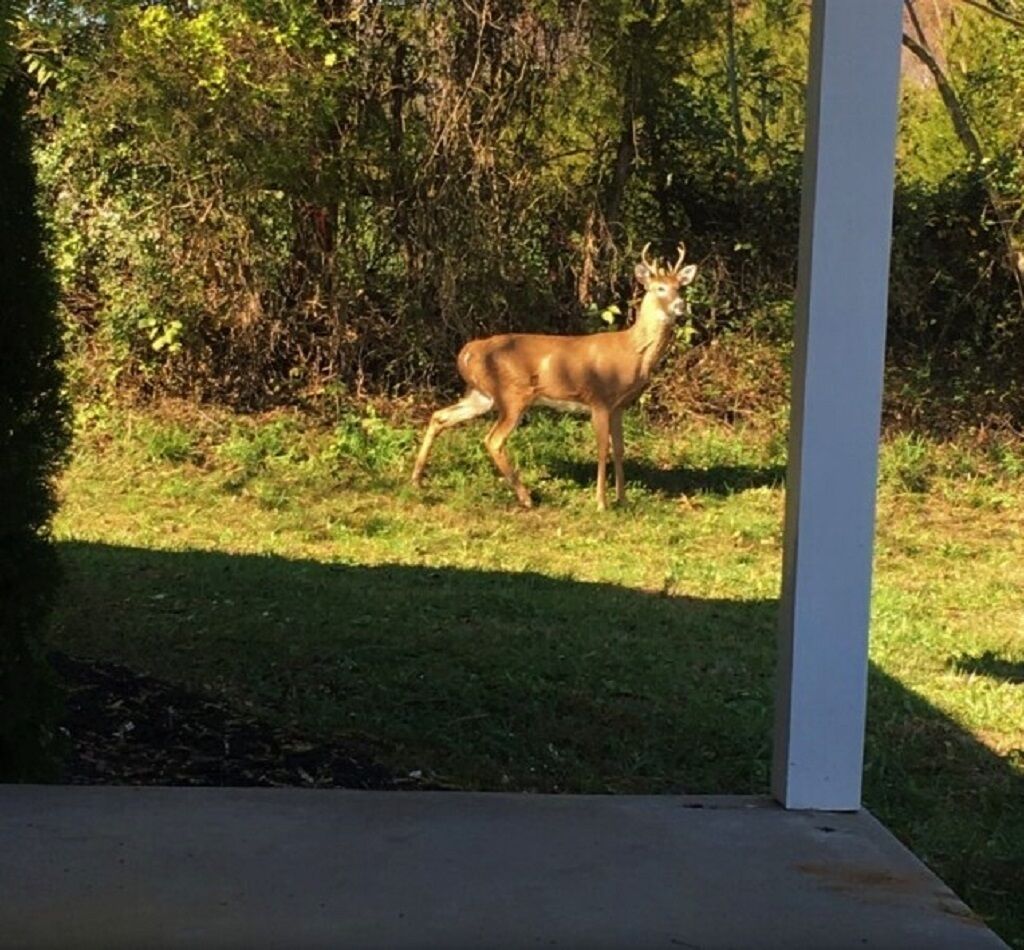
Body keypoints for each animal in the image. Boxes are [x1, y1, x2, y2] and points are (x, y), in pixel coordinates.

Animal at [411, 242, 698, 510]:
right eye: (659, 288)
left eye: (680, 288)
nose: (681, 306)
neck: (632, 350)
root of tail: (467, 353)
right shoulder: (599, 399)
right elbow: (602, 449)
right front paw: (601, 503)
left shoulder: (619, 406)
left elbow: (619, 449)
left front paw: (623, 499)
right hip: (513, 394)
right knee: (493, 440)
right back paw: (526, 498)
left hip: (482, 395)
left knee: (440, 416)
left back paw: (416, 478)